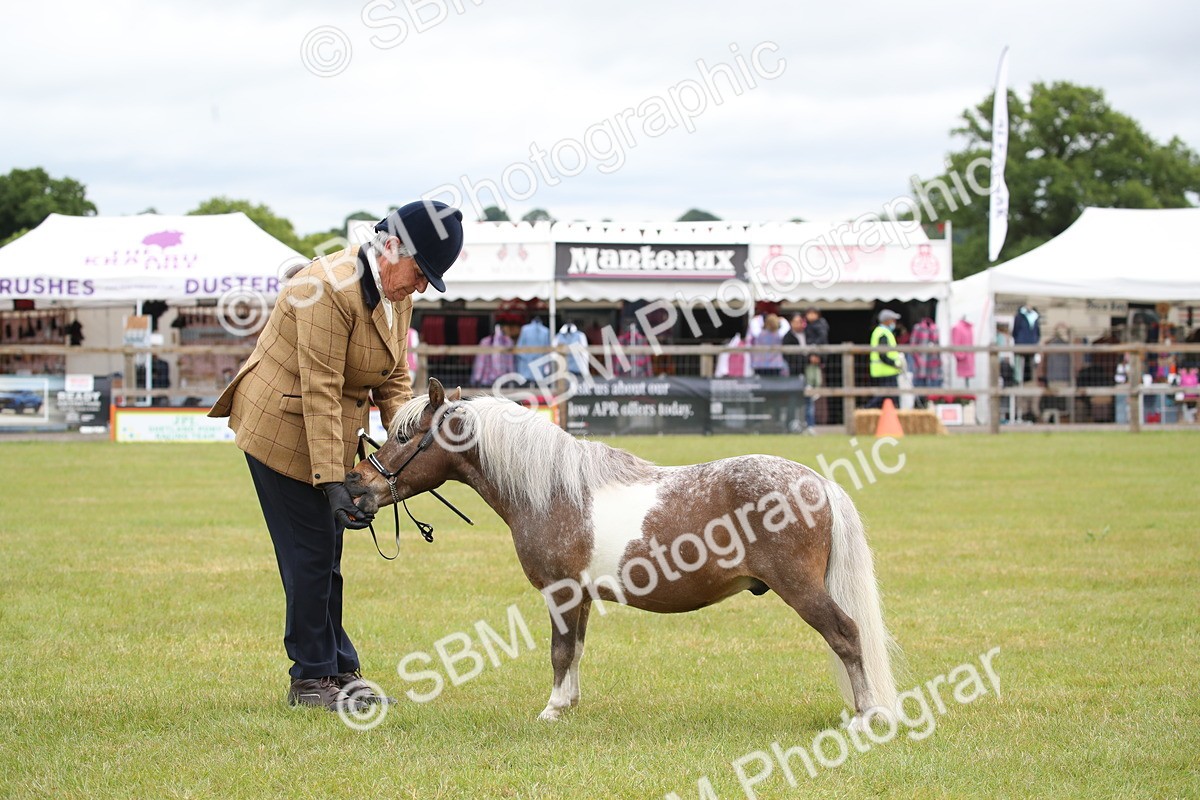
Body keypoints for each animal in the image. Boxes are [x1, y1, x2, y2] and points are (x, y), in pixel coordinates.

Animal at [345, 379, 898, 727]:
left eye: (403, 435)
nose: (358, 486)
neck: (552, 490)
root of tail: (818, 483)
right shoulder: (582, 597)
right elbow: (575, 650)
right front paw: (568, 704)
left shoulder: (561, 592)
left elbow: (559, 650)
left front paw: (551, 710)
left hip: (801, 589)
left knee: (847, 635)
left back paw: (867, 714)